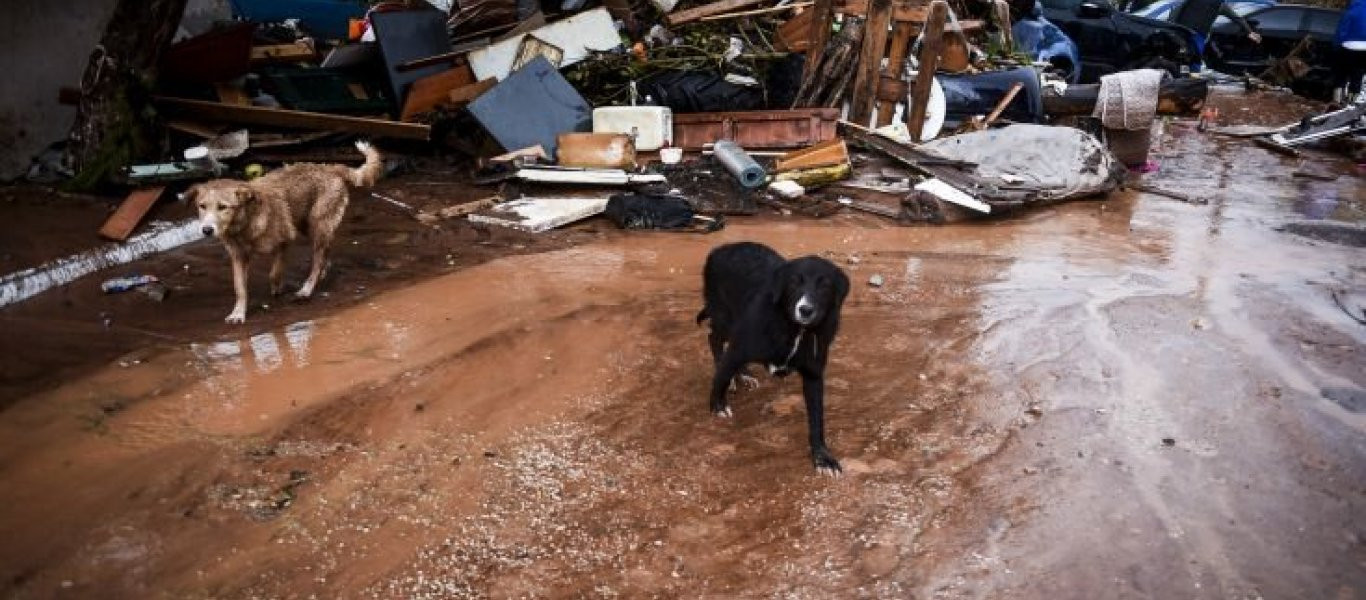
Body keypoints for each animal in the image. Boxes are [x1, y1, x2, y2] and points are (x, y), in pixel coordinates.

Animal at [184, 141, 382, 323]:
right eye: (202, 206)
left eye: (223, 207)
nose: (207, 230)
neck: (245, 224)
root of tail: (329, 167)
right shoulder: (238, 256)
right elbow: (239, 287)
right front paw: (238, 313)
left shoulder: (285, 240)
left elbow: (275, 271)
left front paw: (277, 288)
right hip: (306, 225)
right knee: (326, 250)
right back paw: (324, 271)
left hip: (317, 224)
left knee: (318, 259)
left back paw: (307, 289)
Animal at [699, 241, 846, 475]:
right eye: (794, 282)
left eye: (824, 286)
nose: (805, 310)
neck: (795, 329)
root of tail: (720, 248)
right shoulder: (741, 346)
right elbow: (721, 377)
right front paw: (718, 405)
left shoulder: (814, 374)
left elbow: (817, 419)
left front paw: (822, 457)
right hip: (725, 320)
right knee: (713, 338)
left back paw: (744, 375)